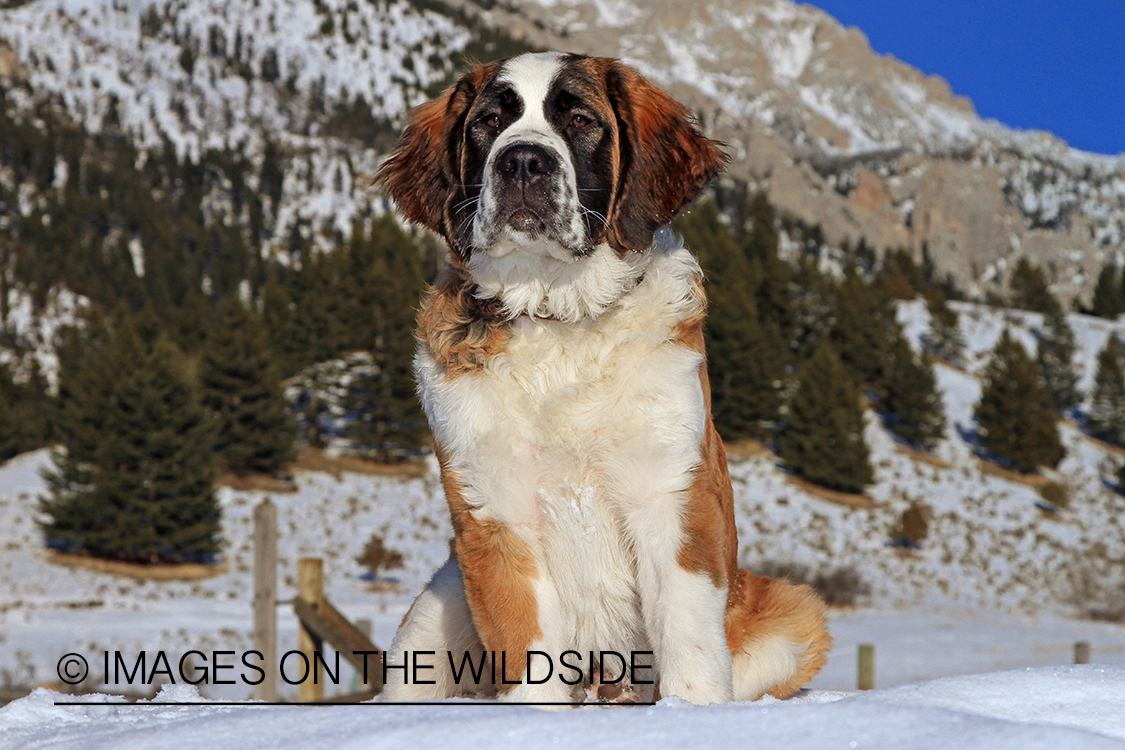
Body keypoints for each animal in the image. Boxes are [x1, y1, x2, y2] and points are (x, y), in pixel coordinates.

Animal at [375, 51, 828, 706]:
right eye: (489, 121)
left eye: (581, 120)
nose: (522, 160)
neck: (559, 315)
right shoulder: (495, 518)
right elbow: (524, 644)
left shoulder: (672, 494)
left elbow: (689, 642)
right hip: (429, 622)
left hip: (793, 614)